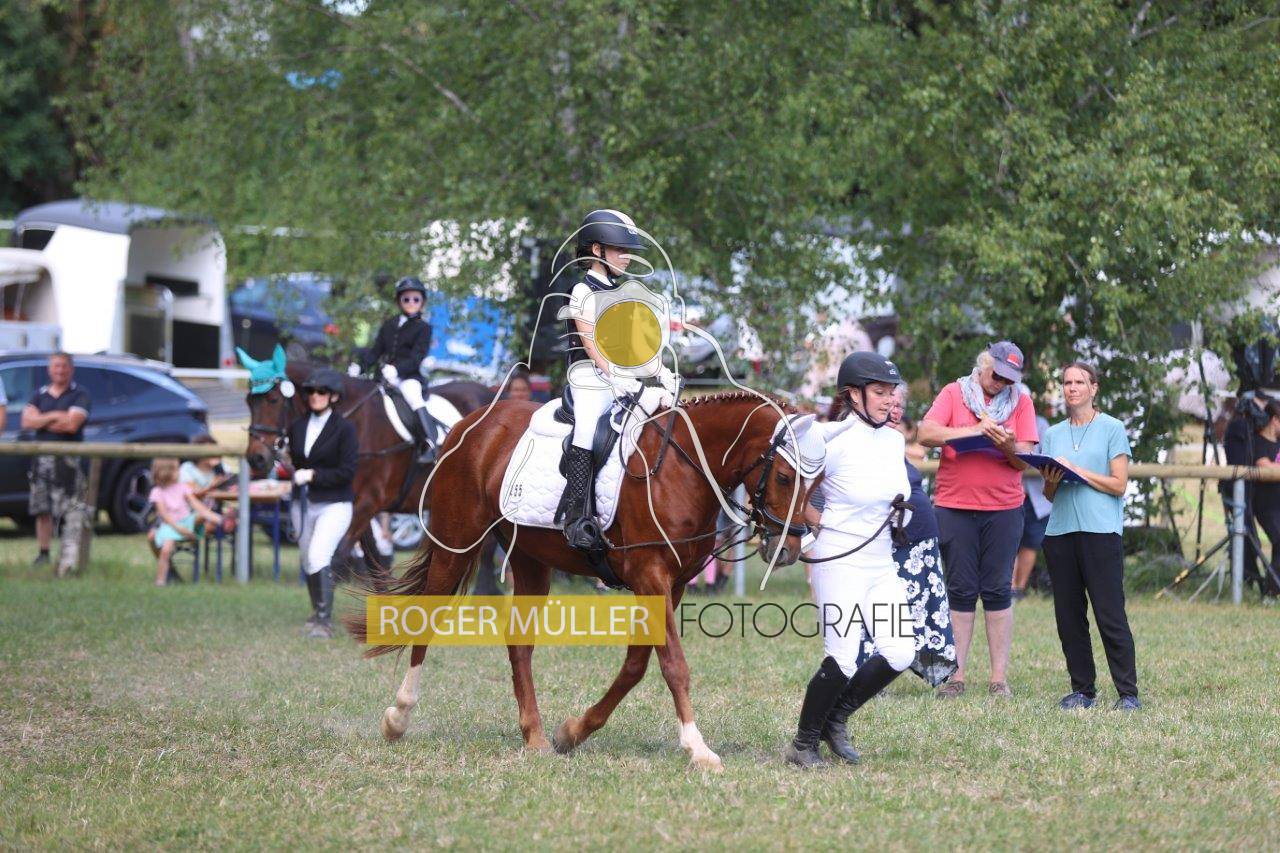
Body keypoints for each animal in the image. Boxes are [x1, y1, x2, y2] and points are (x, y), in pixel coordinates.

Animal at [242, 355, 495, 579]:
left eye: (273, 400)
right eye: (249, 401)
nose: (257, 458)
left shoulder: (367, 502)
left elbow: (338, 556)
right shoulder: (356, 505)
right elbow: (375, 562)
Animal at [346, 392, 822, 771]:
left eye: (817, 480)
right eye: (784, 477)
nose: (787, 548)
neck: (682, 467)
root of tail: (470, 421)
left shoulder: (672, 584)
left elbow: (636, 665)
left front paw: (573, 732)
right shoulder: (651, 576)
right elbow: (673, 664)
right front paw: (697, 747)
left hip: (529, 559)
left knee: (519, 643)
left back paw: (535, 736)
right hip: (456, 542)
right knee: (426, 623)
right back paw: (398, 717)